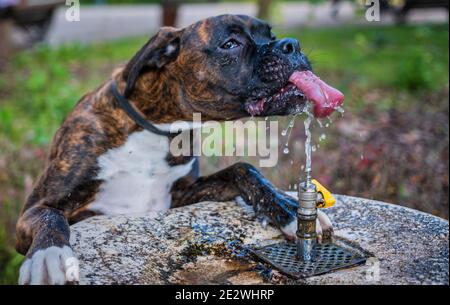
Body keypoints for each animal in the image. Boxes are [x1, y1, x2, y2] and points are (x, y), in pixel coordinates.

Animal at [15, 15, 342, 284]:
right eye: (230, 44)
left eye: (269, 34)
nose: (291, 44)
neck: (156, 128)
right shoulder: (35, 210)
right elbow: (51, 217)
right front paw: (49, 257)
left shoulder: (180, 196)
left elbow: (243, 168)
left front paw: (288, 208)